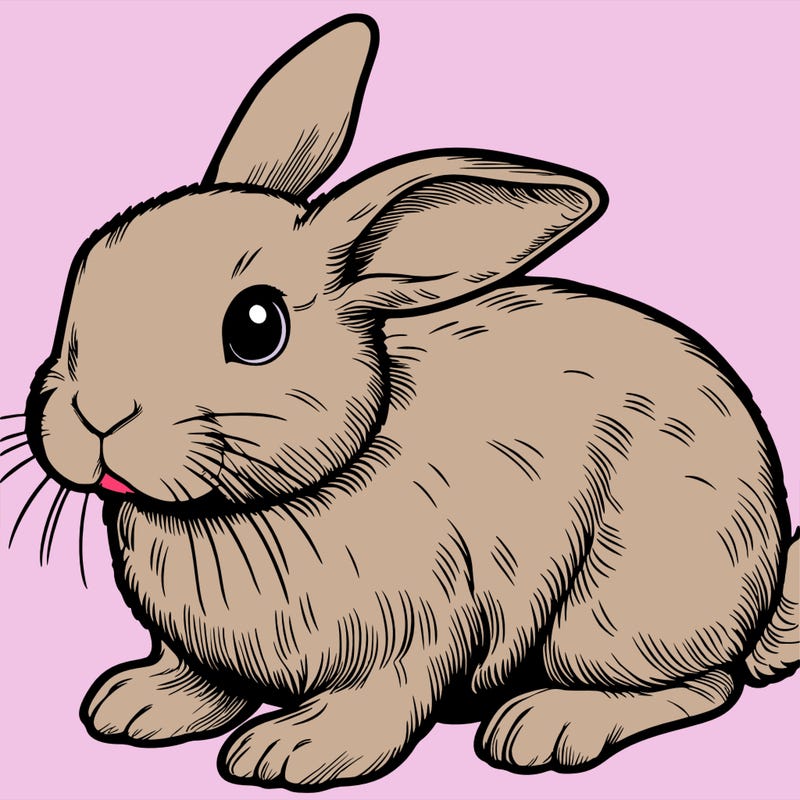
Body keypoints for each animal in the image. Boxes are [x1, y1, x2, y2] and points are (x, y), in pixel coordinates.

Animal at [16, 12, 798, 792]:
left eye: (256, 326)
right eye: (85, 270)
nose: (97, 414)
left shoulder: (418, 631)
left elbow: (381, 701)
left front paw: (292, 751)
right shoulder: (201, 649)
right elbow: (201, 680)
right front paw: (136, 704)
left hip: (618, 611)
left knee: (706, 684)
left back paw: (545, 725)